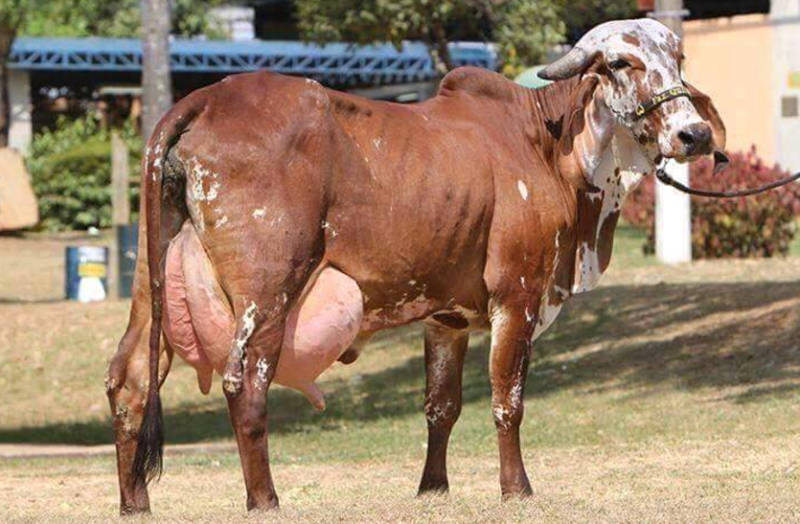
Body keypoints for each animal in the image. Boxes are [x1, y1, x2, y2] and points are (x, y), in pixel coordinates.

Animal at [106, 18, 725, 514]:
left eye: (678, 59)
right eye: (621, 63)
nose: (693, 133)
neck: (547, 145)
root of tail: (208, 98)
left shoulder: (445, 320)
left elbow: (440, 407)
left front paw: (433, 487)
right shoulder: (518, 298)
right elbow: (507, 402)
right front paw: (516, 488)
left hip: (150, 281)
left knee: (129, 379)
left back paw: (135, 502)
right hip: (269, 290)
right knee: (245, 383)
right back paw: (265, 499)